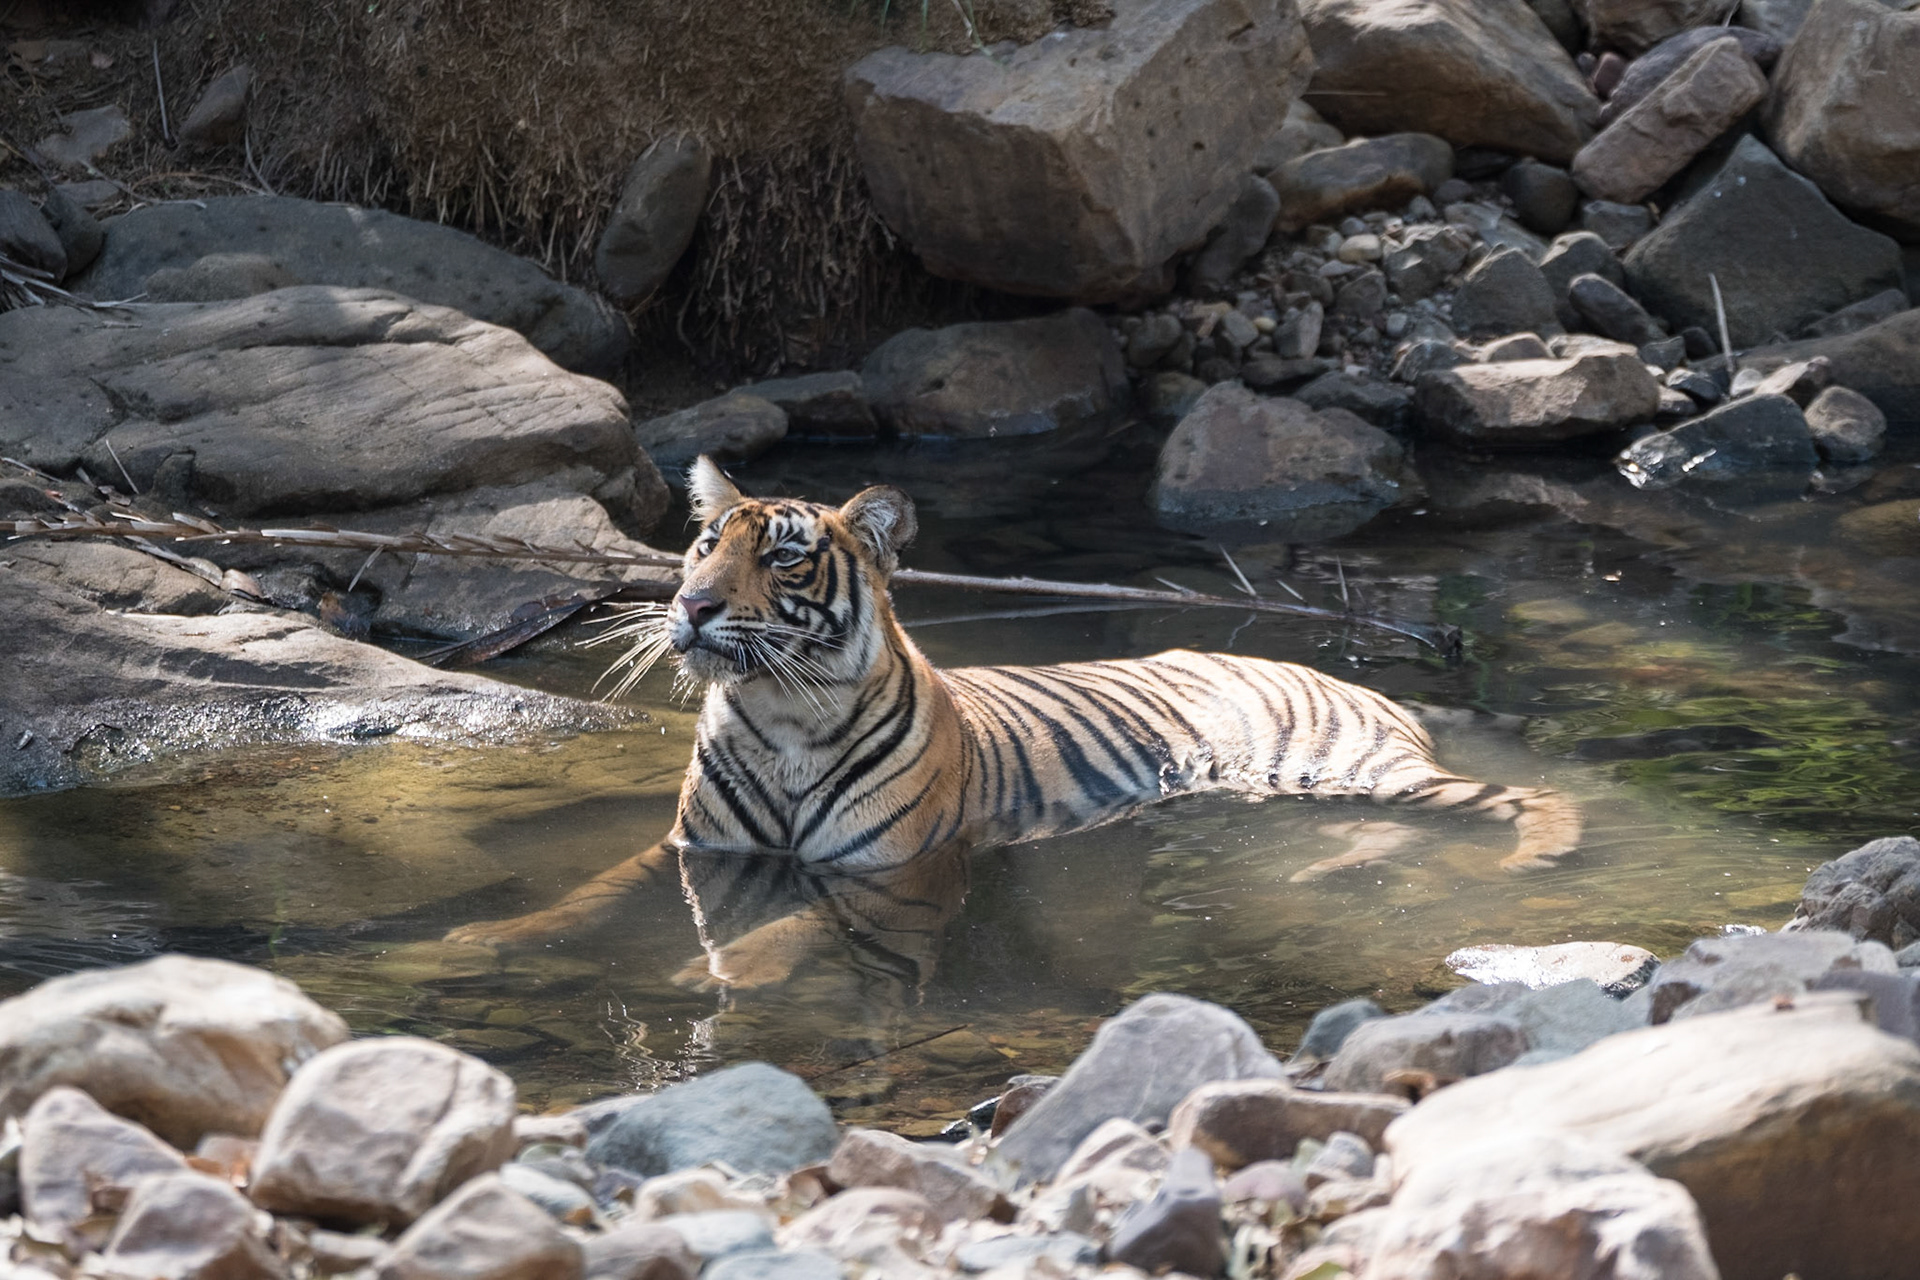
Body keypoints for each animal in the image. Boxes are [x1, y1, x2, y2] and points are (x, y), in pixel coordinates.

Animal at [446, 456, 1581, 954]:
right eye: (701, 544)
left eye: (782, 555)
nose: (689, 605)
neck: (779, 720)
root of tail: (1353, 675)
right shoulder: (692, 851)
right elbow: (585, 894)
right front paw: (473, 941)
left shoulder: (888, 876)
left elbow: (782, 931)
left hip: (1338, 763)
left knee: (1524, 798)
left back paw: (1542, 856)